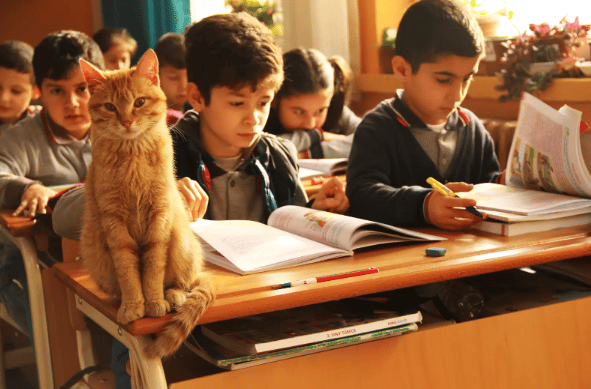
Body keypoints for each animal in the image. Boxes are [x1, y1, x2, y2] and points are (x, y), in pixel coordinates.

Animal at [78, 50, 215, 360]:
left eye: (139, 102)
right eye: (110, 107)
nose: (127, 121)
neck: (132, 156)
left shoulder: (159, 214)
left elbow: (152, 267)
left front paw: (152, 301)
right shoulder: (114, 221)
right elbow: (129, 270)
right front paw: (133, 305)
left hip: (181, 242)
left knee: (184, 283)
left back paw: (172, 296)